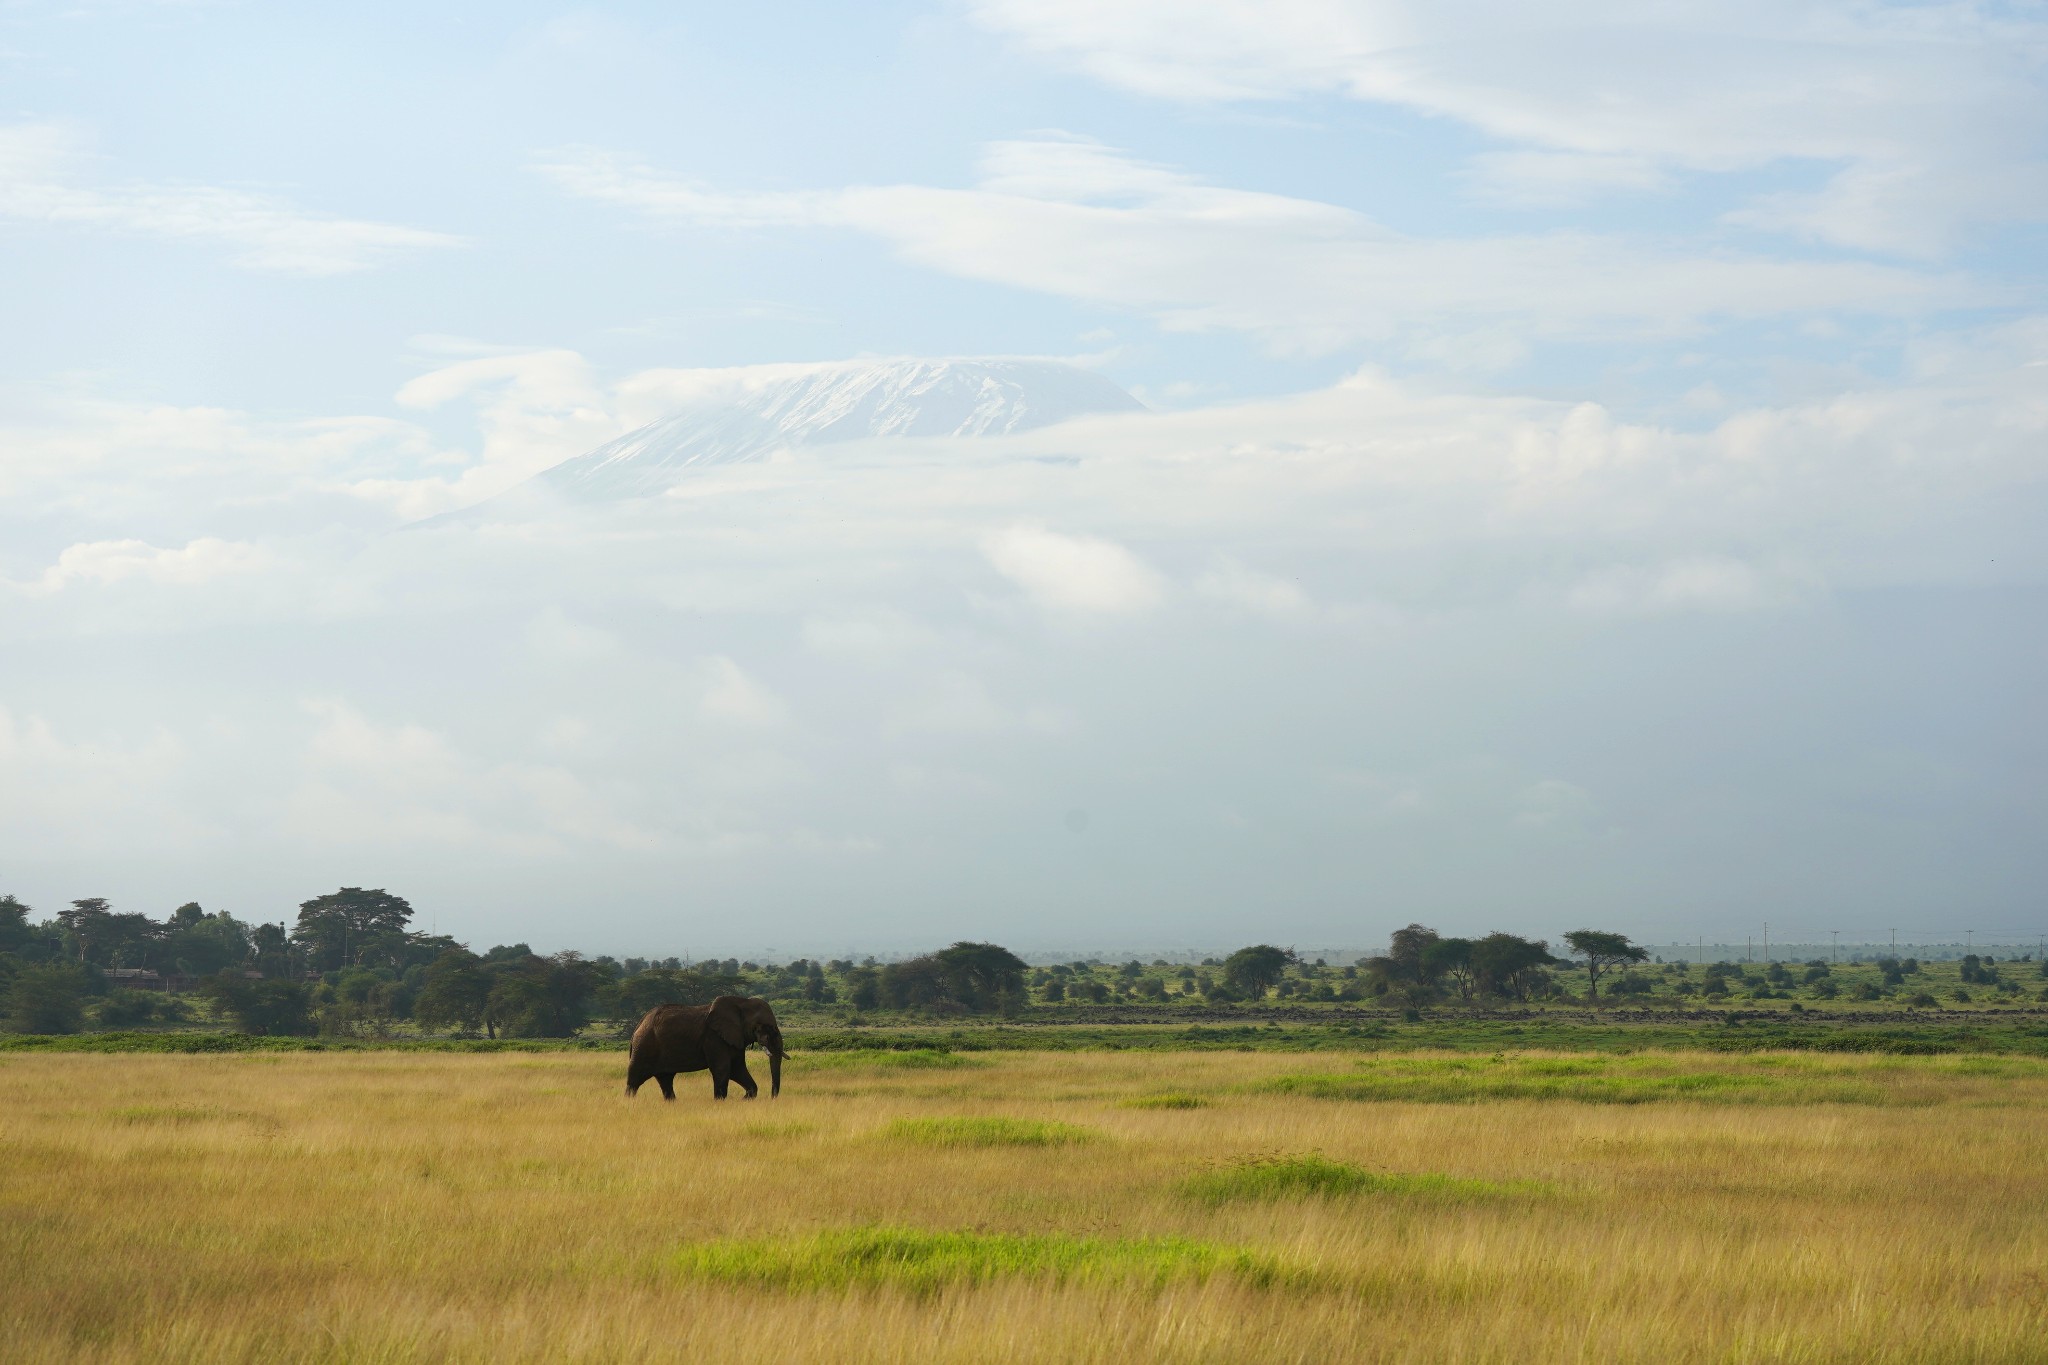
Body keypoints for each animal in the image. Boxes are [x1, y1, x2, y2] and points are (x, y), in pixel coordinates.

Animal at [622, 998, 782, 1105]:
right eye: (765, 1028)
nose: (772, 1098)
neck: (742, 1002)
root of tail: (639, 1024)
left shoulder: (735, 1039)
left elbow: (737, 1069)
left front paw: (743, 1100)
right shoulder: (714, 1038)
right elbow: (723, 1069)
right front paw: (720, 1103)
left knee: (665, 1080)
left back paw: (672, 1103)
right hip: (644, 1046)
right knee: (634, 1079)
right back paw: (628, 1102)